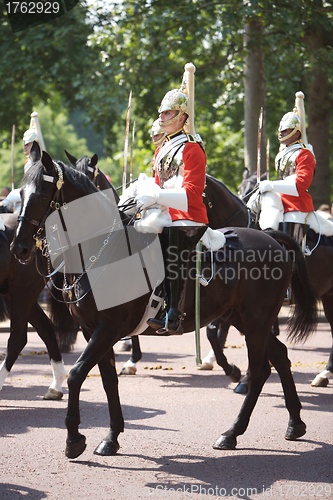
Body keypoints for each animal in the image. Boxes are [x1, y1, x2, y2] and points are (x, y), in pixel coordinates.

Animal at [10, 145, 316, 458]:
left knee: (259, 370)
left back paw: (232, 431)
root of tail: (271, 239)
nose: (19, 247)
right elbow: (108, 380)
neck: (101, 251)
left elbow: (76, 374)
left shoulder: (108, 328)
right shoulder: (92, 329)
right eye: (20, 193)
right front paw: (111, 437)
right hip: (244, 319)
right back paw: (294, 423)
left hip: (256, 320)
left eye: (41, 194)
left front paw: (74, 440)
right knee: (279, 356)